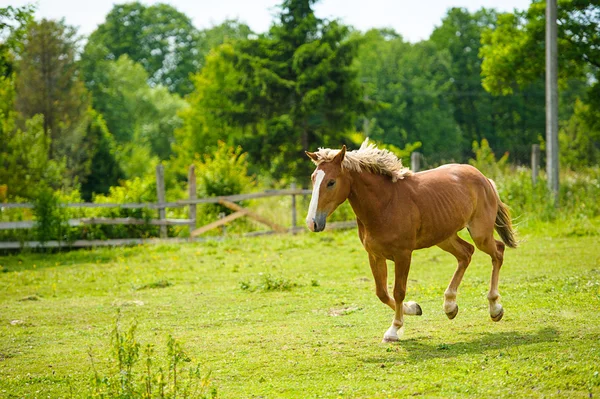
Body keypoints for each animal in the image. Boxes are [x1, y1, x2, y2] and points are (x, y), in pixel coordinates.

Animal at [304, 140, 516, 344]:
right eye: (313, 178)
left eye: (331, 182)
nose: (312, 222)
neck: (385, 204)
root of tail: (484, 178)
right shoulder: (375, 255)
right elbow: (382, 292)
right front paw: (413, 308)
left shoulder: (403, 255)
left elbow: (398, 291)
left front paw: (394, 330)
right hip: (444, 237)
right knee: (466, 253)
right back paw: (450, 306)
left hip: (480, 234)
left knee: (498, 251)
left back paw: (495, 308)